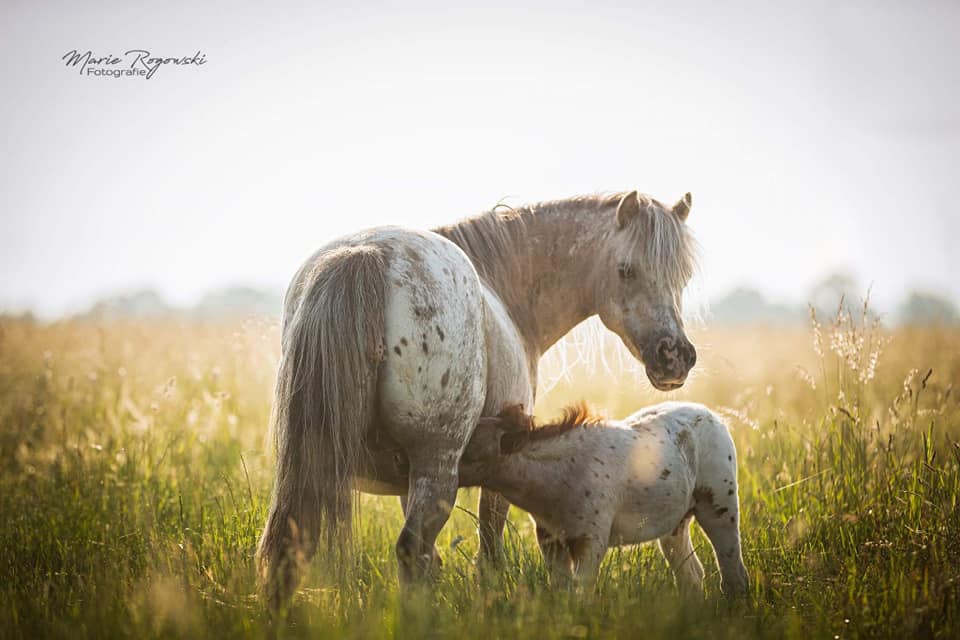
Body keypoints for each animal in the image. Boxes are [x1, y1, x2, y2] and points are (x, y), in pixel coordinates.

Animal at [256, 189, 696, 604]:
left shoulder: (405, 479)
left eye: (683, 278)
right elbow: (489, 551)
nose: (675, 356)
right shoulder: (501, 462)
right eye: (626, 270)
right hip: (437, 462)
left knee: (293, 548)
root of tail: (368, 255)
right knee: (410, 549)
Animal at [460, 400, 752, 596]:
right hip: (674, 525)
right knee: (691, 575)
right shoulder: (550, 540)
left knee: (734, 575)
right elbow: (562, 591)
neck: (559, 476)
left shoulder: (591, 541)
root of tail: (715, 417)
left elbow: (582, 592)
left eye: (469, 447)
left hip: (720, 509)